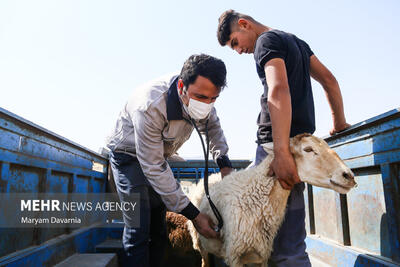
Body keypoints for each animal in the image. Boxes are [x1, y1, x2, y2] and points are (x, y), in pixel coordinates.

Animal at [187, 134, 356, 267]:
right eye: (308, 149)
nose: (349, 176)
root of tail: (211, 176)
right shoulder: (235, 255)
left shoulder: (261, 254)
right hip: (199, 241)